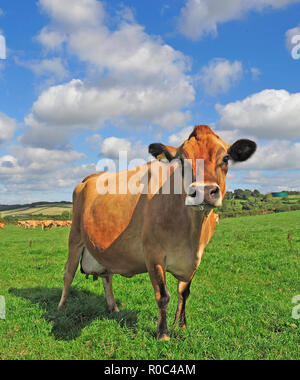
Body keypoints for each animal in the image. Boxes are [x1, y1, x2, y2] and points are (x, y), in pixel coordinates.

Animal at [59, 125, 258, 342]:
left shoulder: (196, 258)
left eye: (226, 158)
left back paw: (114, 308)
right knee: (68, 273)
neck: (191, 233)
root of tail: (88, 179)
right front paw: (163, 333)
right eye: (181, 160)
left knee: (106, 276)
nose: (204, 192)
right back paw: (61, 307)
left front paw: (181, 325)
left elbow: (184, 292)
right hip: (75, 237)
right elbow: (163, 295)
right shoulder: (153, 254)